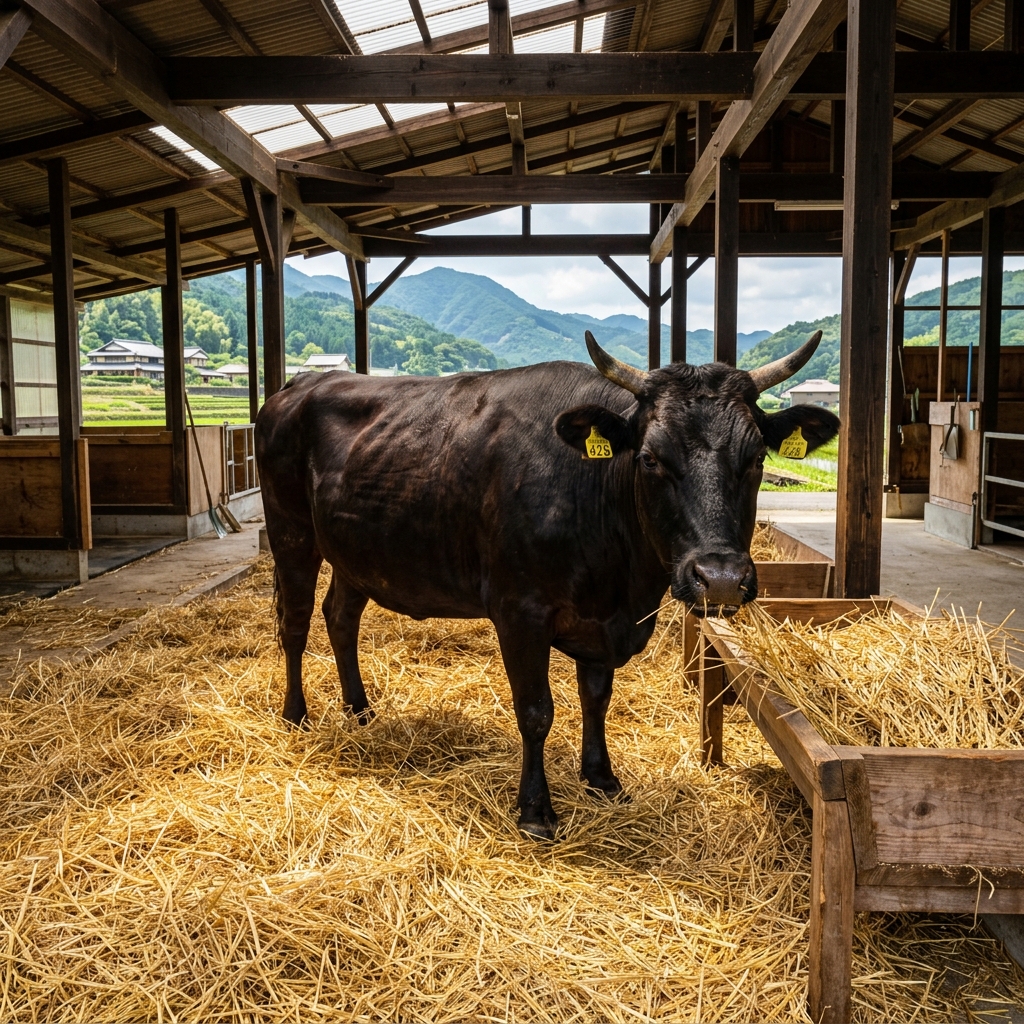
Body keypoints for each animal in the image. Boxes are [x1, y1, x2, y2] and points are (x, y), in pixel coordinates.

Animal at [255, 330, 838, 839]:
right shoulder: (519, 611)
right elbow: (536, 711)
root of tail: (298, 385)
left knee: (340, 617)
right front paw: (536, 810)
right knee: (295, 623)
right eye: (650, 458)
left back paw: (360, 711)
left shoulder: (602, 622)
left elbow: (596, 699)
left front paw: (602, 778)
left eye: (757, 457)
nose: (719, 579)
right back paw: (296, 715)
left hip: (356, 551)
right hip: (291, 532)